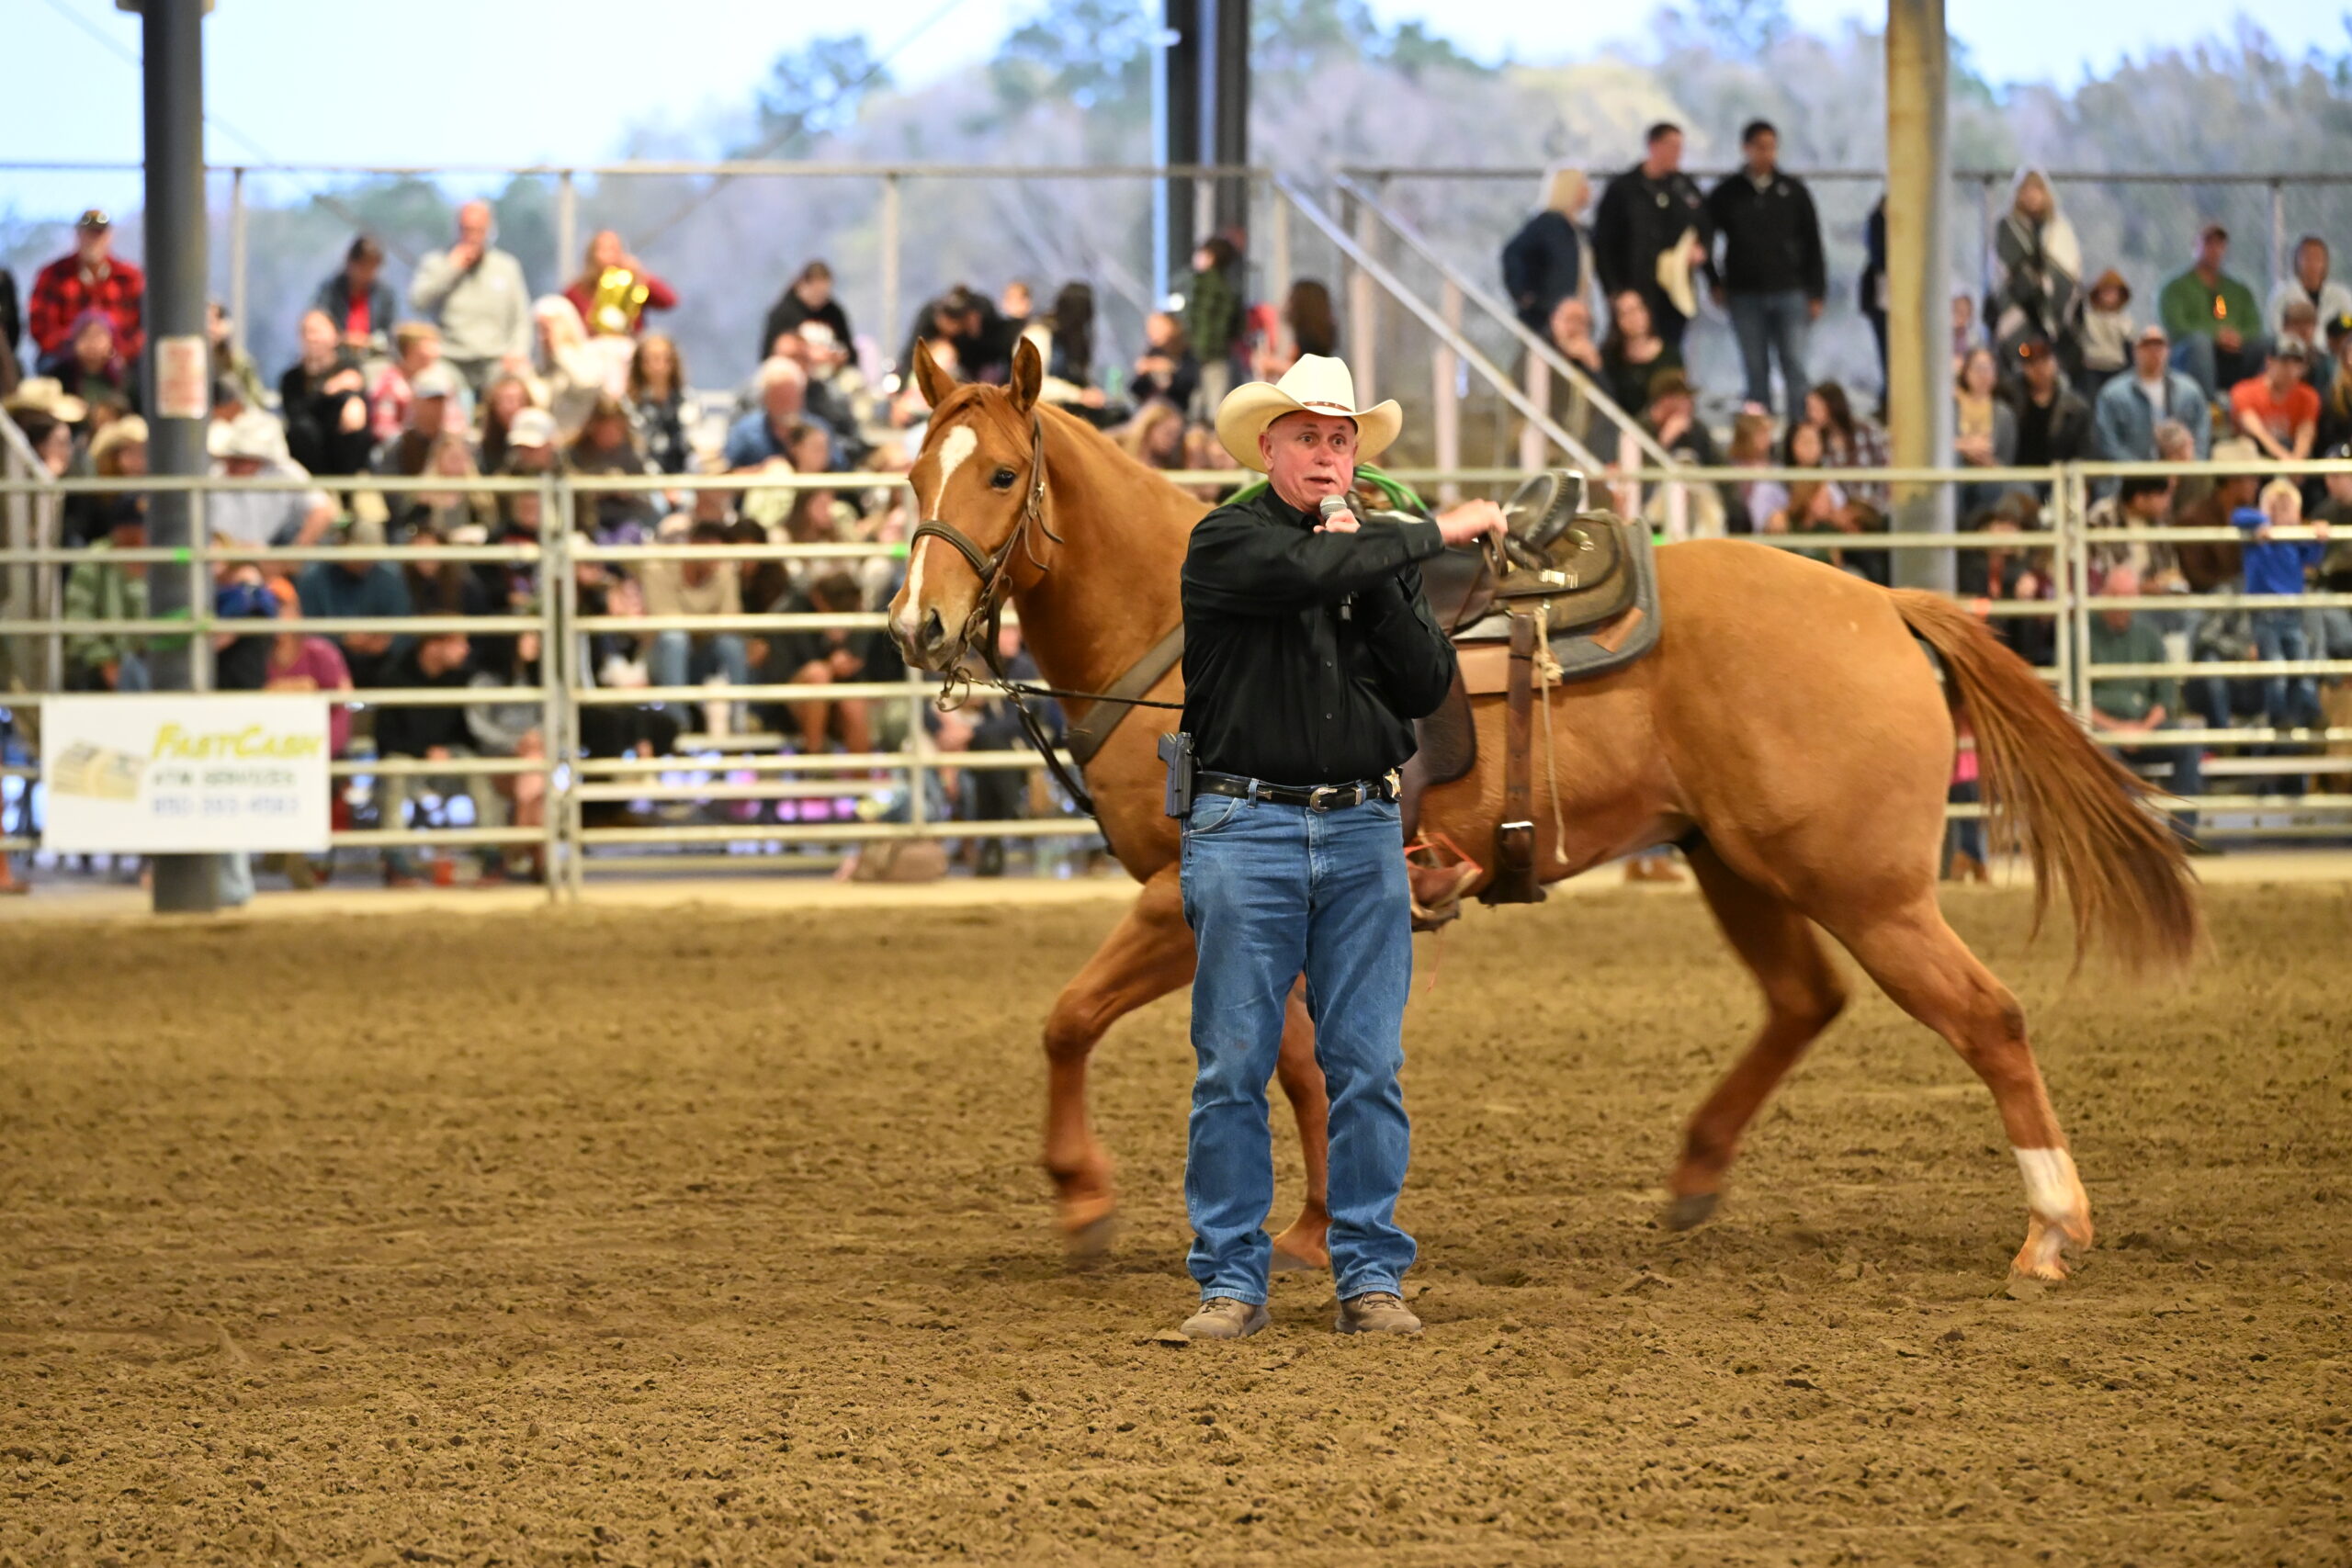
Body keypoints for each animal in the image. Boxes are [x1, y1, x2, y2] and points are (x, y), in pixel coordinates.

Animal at [885, 338, 2199, 1282]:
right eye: (910, 476)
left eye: (1001, 473)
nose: (917, 627)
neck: (1177, 615)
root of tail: (1882, 603)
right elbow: (1302, 1063)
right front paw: (1313, 1228)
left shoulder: (1180, 895)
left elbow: (1069, 1020)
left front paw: (1085, 1198)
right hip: (1737, 864)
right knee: (1803, 1001)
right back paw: (1694, 1177)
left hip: (1864, 887)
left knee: (1985, 1018)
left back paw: (2049, 1228)